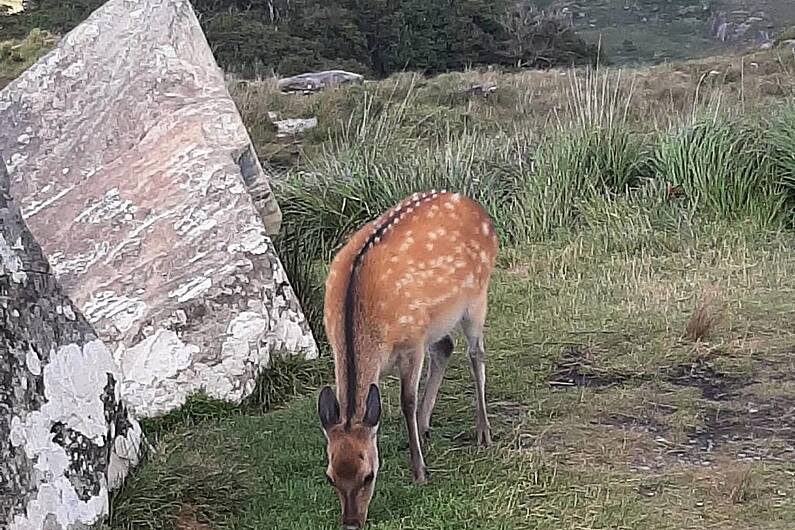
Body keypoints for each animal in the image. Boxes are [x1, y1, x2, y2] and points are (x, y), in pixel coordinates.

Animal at [318, 188, 498, 524]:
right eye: (330, 476)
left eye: (369, 475)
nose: (351, 523)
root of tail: (476, 206)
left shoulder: (412, 342)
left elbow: (406, 401)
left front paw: (420, 472)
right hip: (436, 319)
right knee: (445, 347)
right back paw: (425, 427)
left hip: (477, 295)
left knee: (475, 354)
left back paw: (483, 433)